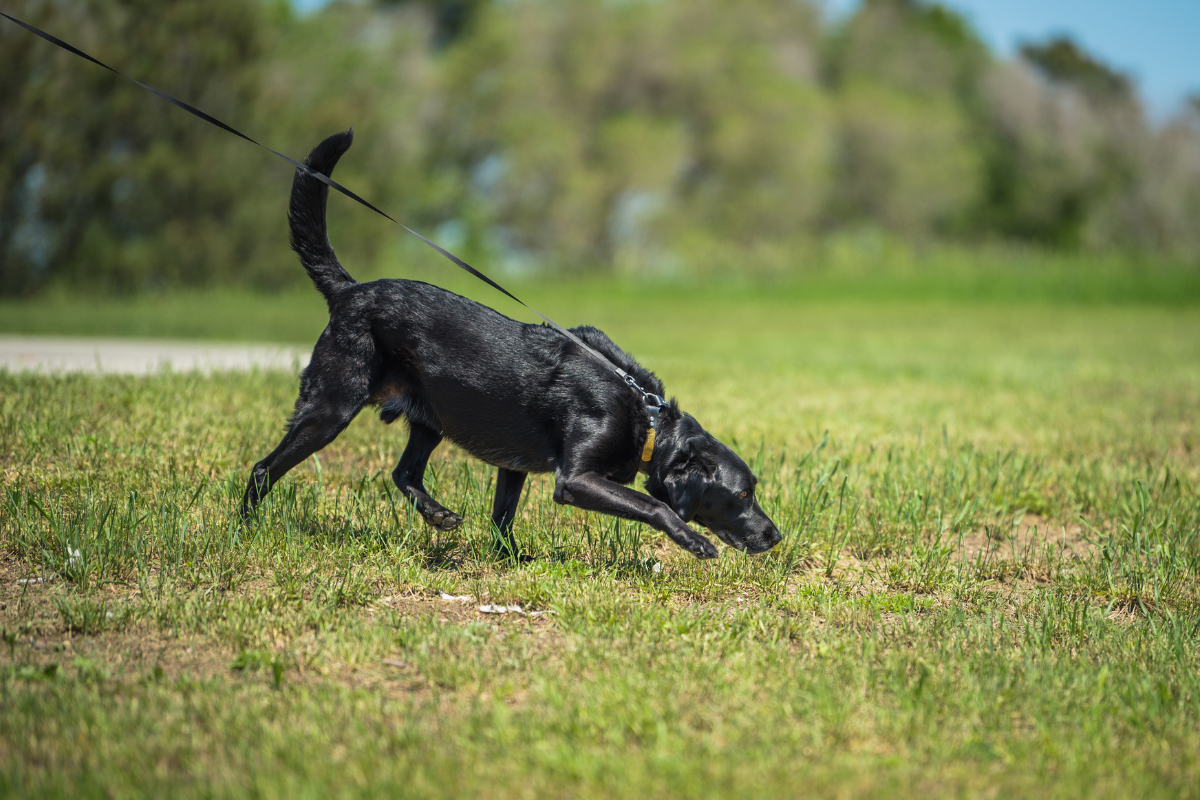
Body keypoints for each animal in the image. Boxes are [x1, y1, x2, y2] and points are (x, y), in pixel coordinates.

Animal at [244, 130, 787, 556]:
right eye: (742, 496)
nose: (775, 535)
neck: (646, 417)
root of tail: (349, 291)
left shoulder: (513, 465)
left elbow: (502, 517)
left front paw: (510, 560)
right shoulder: (577, 479)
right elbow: (654, 504)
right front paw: (693, 540)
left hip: (431, 415)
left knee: (404, 472)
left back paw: (438, 515)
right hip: (332, 406)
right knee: (262, 469)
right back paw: (246, 529)